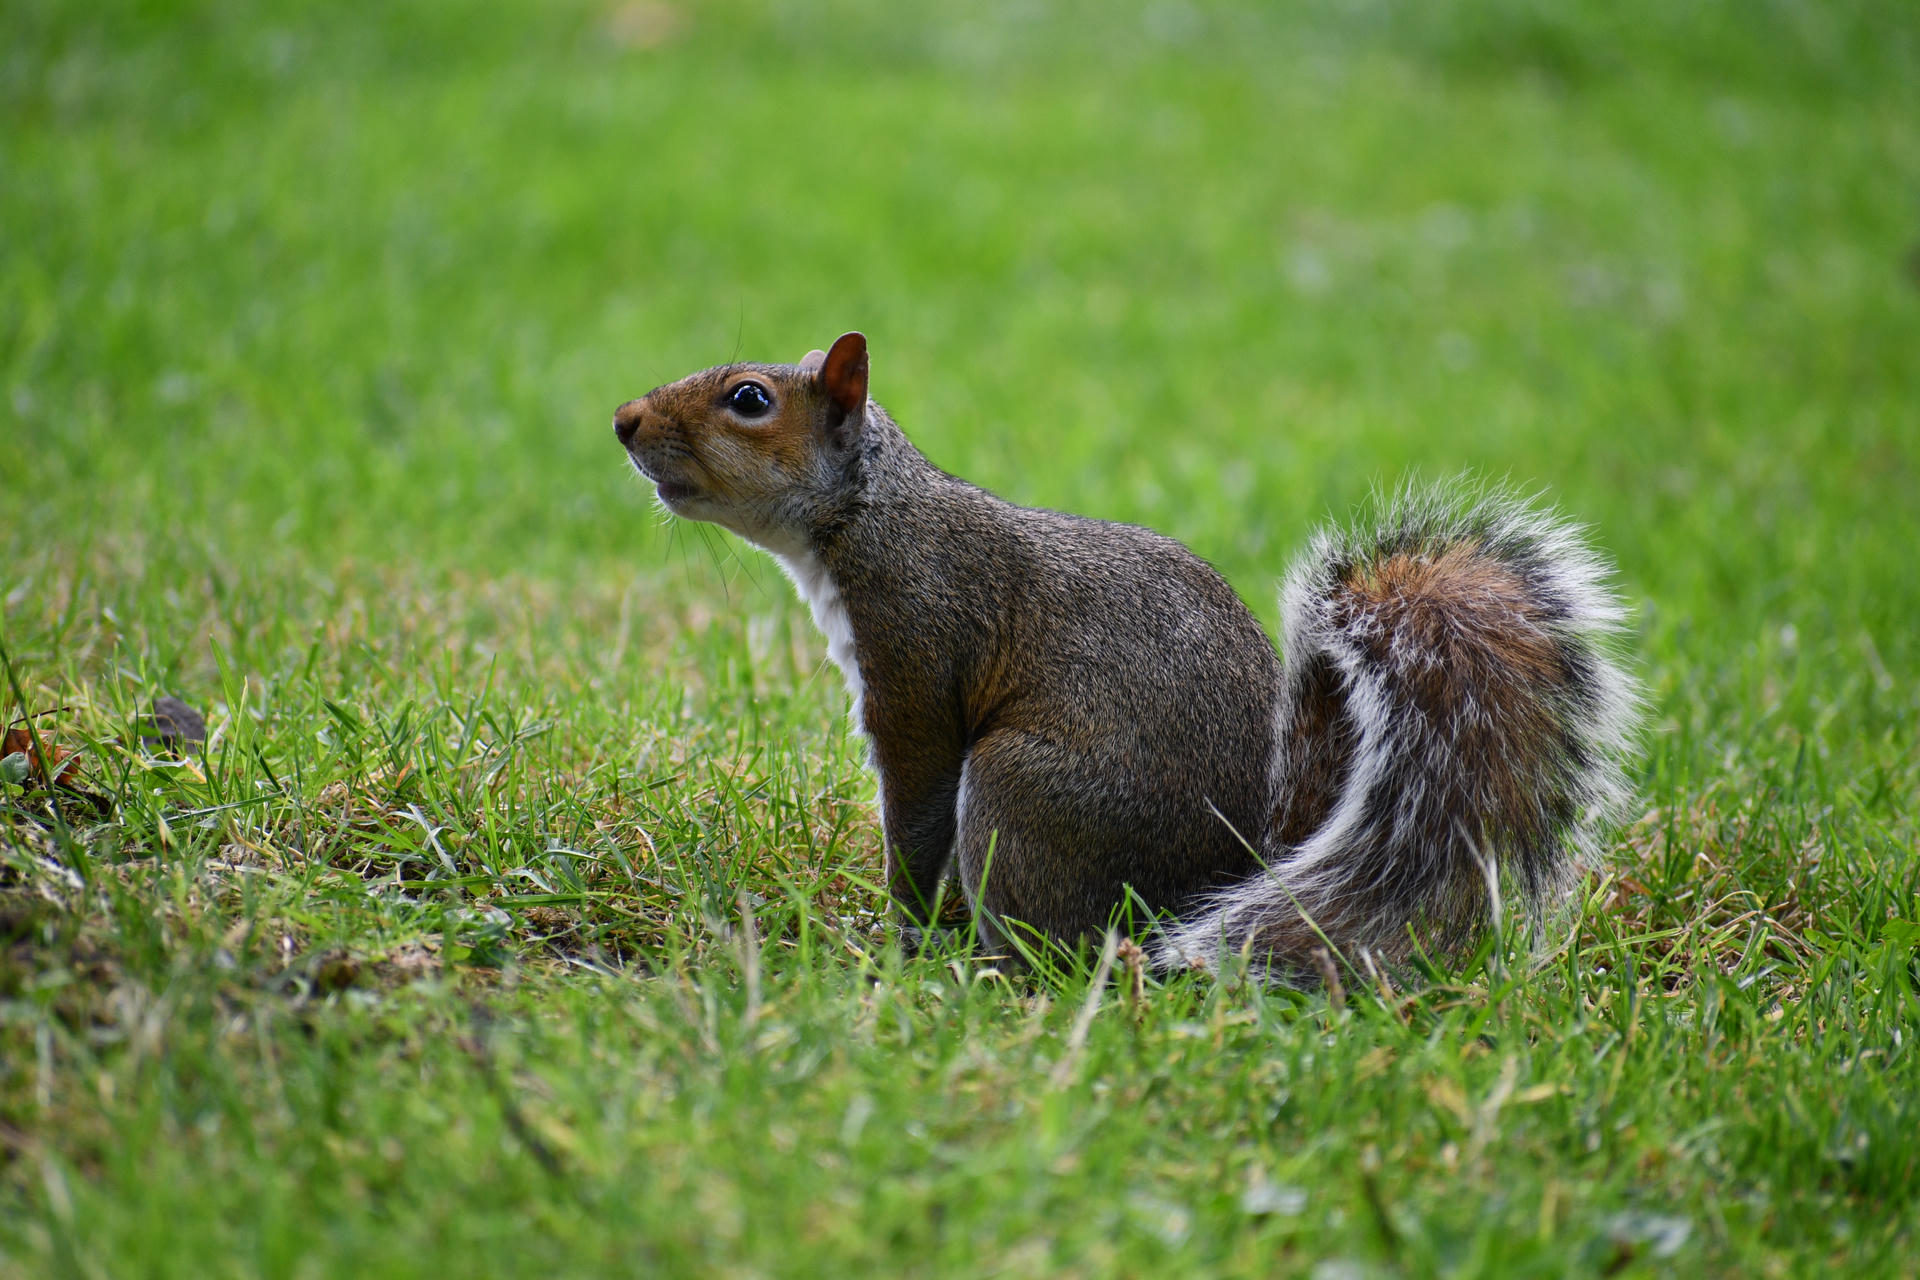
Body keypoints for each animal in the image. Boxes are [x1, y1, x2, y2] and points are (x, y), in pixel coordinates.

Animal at [614, 332, 1640, 979]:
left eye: (749, 401)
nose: (624, 419)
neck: (871, 513)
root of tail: (1237, 867)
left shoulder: (915, 660)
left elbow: (916, 814)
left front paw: (896, 939)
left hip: (1023, 789)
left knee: (1054, 944)